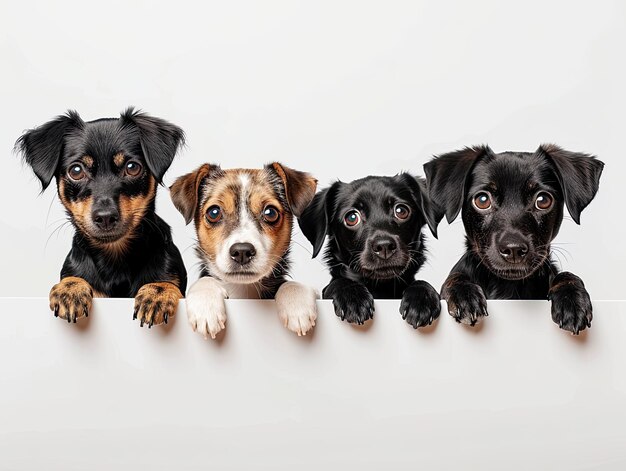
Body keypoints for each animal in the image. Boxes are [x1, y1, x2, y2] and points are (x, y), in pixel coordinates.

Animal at [15, 107, 186, 328]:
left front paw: (158, 292)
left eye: (132, 167)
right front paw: (70, 289)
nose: (105, 217)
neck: (114, 254)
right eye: (76, 171)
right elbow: (73, 278)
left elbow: (166, 283)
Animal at [168, 163, 316, 340]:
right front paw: (205, 305)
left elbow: (289, 284)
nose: (242, 252)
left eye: (271, 212)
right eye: (213, 212)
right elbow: (205, 280)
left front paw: (297, 303)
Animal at [296, 173, 438, 328]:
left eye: (401, 211)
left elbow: (421, 282)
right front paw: (353, 298)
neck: (380, 289)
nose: (384, 246)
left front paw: (422, 298)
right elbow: (338, 282)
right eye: (352, 217)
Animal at [422, 145, 604, 336]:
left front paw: (572, 298)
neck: (509, 286)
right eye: (482, 200)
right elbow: (455, 277)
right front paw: (464, 293)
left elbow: (565, 275)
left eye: (543, 200)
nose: (514, 249)